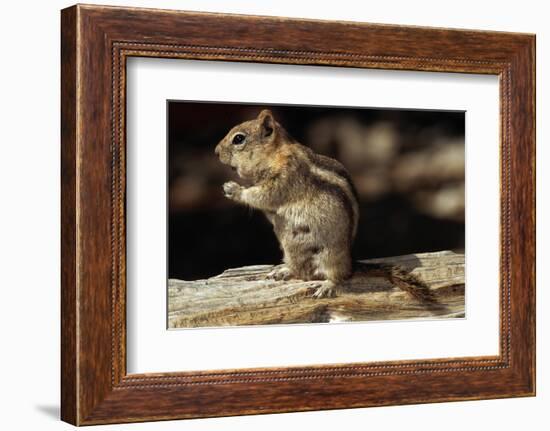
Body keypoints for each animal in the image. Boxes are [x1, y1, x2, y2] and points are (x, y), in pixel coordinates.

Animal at [216, 109, 436, 302]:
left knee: (338, 276)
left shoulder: (286, 177)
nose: (216, 152)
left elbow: (263, 195)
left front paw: (233, 189)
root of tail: (351, 264)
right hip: (291, 250)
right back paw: (283, 270)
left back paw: (327, 286)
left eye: (238, 139)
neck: (275, 154)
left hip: (330, 255)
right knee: (299, 271)